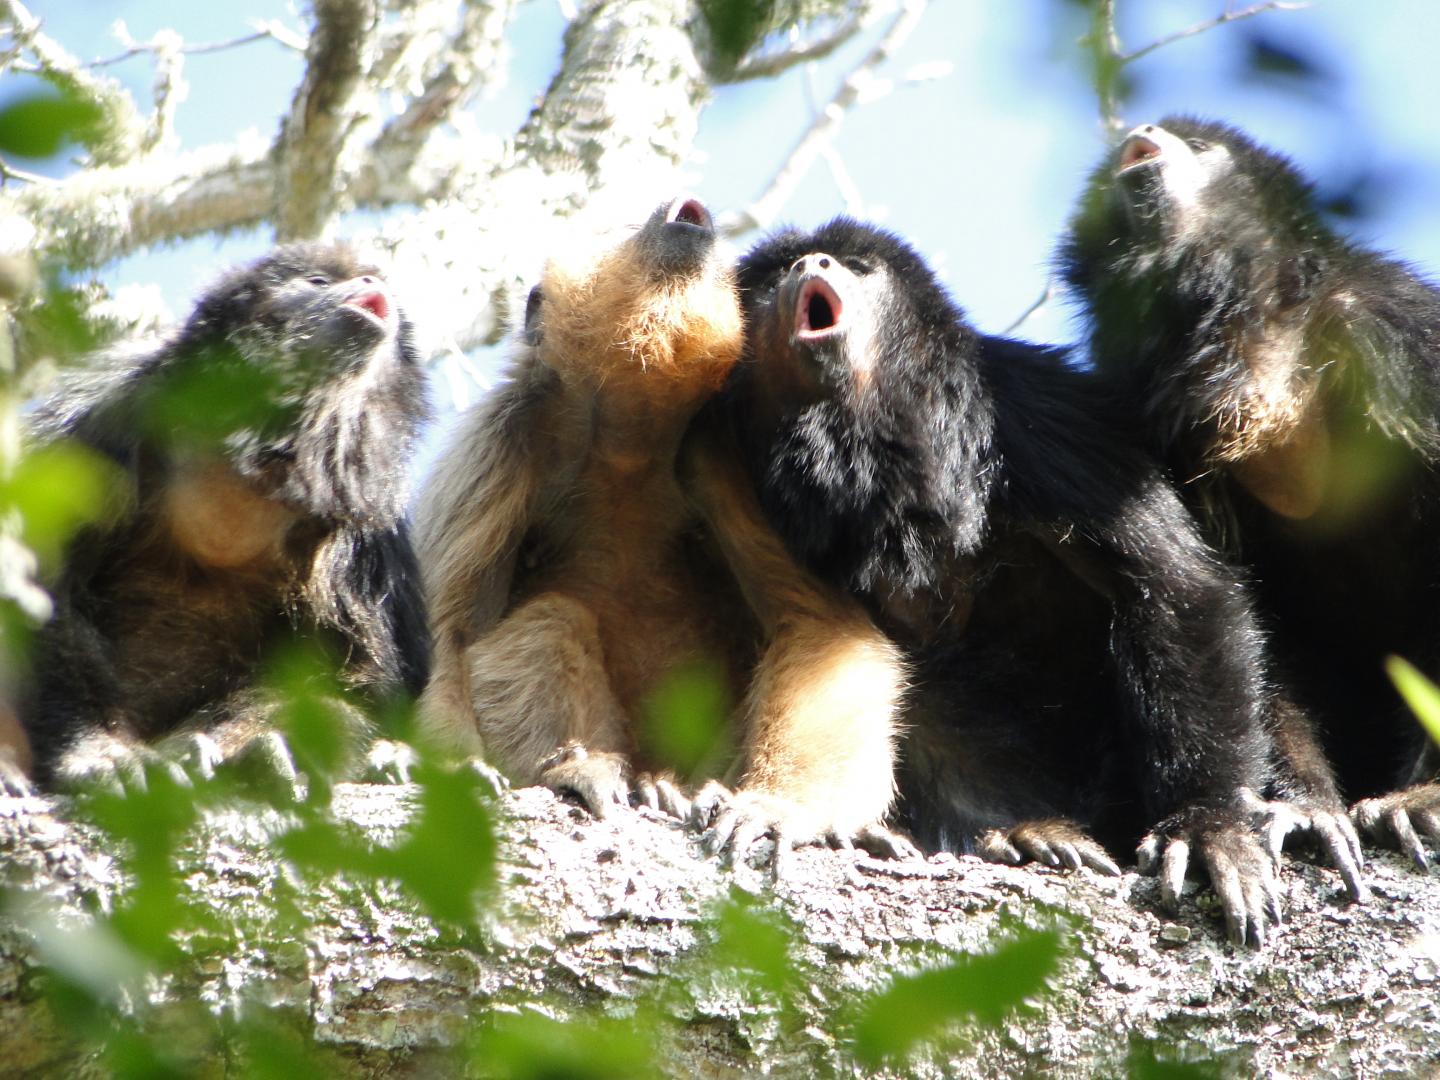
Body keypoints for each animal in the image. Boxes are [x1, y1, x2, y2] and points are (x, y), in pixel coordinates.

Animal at [22, 240, 426, 789]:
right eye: (318, 283)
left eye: (368, 277)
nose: (369, 282)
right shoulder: (97, 418)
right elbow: (44, 590)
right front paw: (96, 752)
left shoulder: (364, 516)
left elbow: (346, 673)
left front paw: (250, 747)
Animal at [417, 198, 915, 869]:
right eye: (620, 225)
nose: (673, 209)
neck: (630, 440)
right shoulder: (503, 438)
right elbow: (451, 633)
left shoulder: (725, 448)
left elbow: (822, 629)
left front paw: (779, 807)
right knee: (548, 620)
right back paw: (590, 771)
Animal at [725, 220, 1290, 944]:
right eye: (780, 272)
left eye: (856, 266)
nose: (813, 264)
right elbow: (827, 640)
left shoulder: (1032, 411)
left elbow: (1171, 585)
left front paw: (1210, 824)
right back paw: (1027, 834)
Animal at [1059, 114, 1440, 881]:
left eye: (1203, 148)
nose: (1145, 130)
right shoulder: (1149, 424)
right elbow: (1235, 615)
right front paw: (1309, 806)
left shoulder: (1399, 333)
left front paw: (1426, 796)